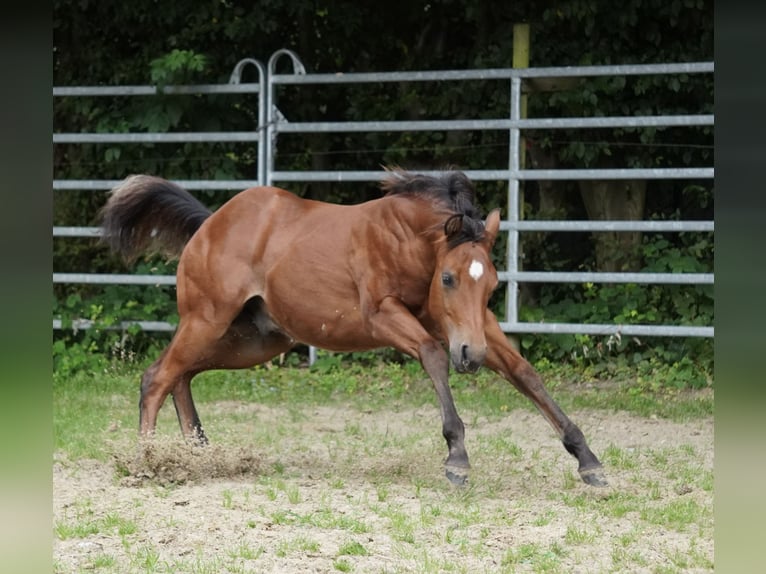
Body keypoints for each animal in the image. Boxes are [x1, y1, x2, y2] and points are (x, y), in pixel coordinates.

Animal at [100, 170, 608, 486]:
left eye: (493, 284)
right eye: (448, 278)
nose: (472, 358)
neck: (406, 240)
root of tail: (209, 225)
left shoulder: (474, 324)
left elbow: (525, 373)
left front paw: (588, 460)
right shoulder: (383, 316)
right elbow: (433, 354)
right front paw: (457, 459)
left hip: (252, 340)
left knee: (182, 374)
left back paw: (197, 454)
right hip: (208, 321)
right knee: (158, 377)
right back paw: (147, 461)